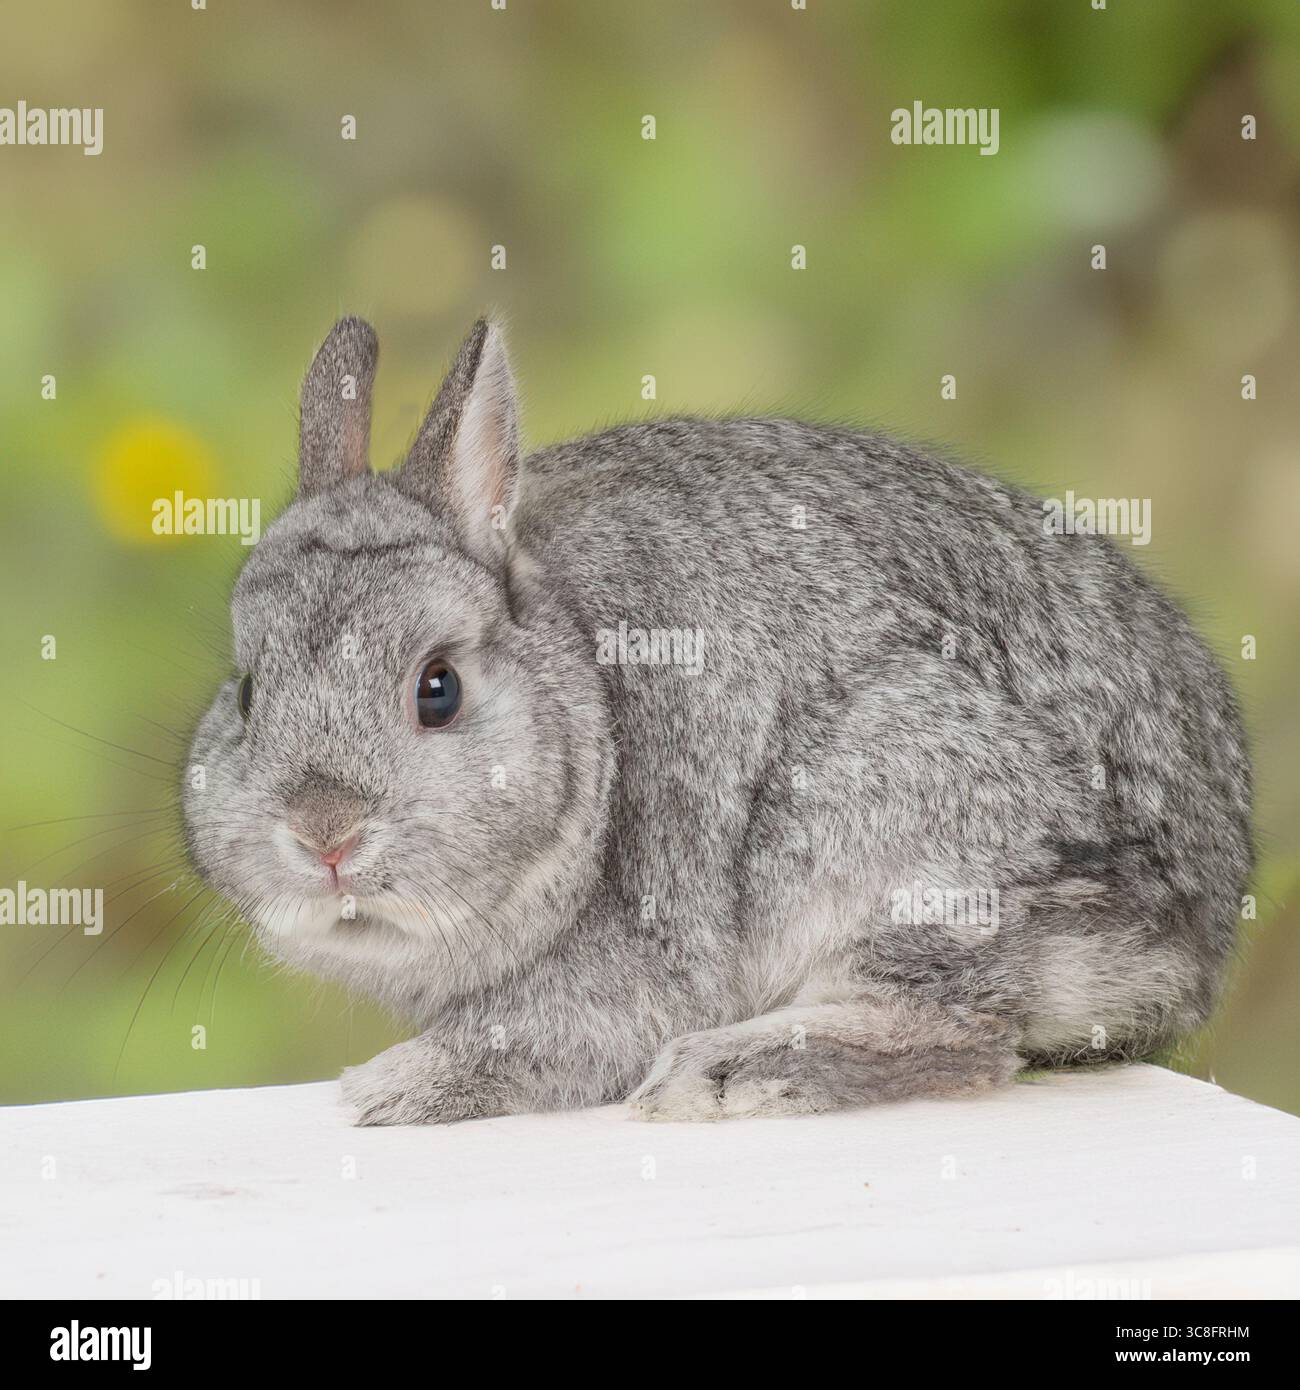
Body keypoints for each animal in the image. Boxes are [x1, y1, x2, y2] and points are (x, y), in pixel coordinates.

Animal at [182, 316, 1253, 1125]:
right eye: (247, 691)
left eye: (435, 688)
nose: (323, 834)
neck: (590, 717)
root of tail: (1195, 937)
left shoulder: (632, 970)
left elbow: (533, 1040)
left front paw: (385, 1090)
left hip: (905, 829)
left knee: (964, 1035)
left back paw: (724, 1074)